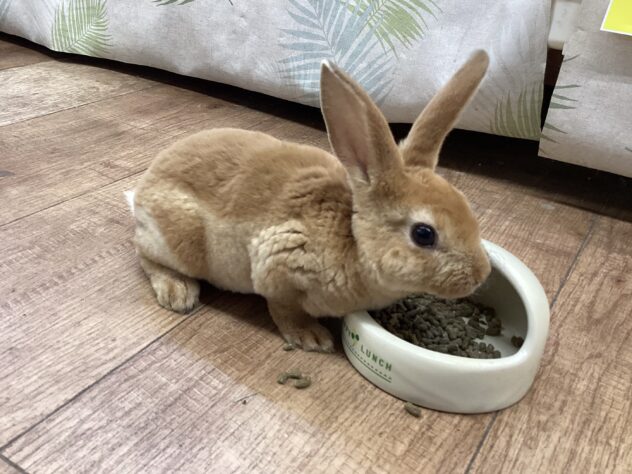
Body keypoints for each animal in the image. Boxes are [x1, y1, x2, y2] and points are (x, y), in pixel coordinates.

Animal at [130, 50, 492, 352]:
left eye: (469, 211)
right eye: (423, 234)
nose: (481, 275)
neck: (354, 241)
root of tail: (143, 192)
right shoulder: (279, 265)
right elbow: (284, 309)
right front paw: (313, 339)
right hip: (180, 239)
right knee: (146, 256)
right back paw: (178, 292)